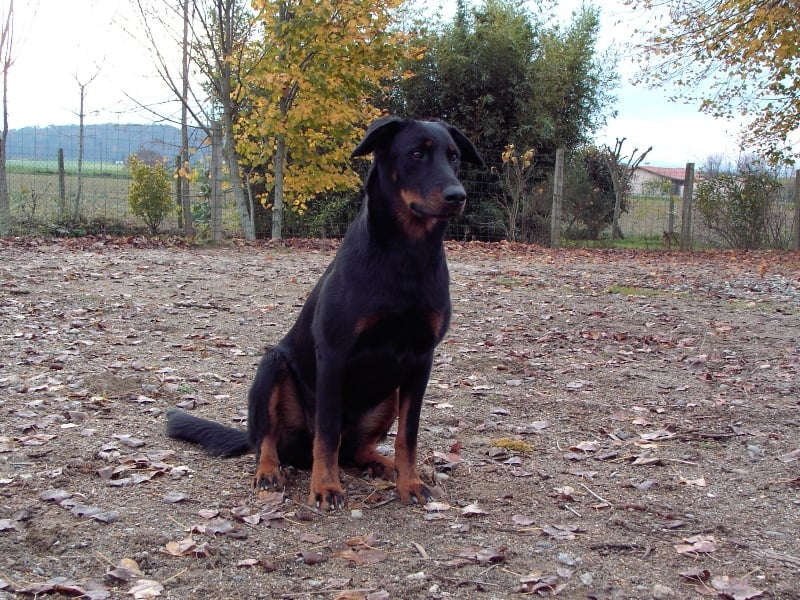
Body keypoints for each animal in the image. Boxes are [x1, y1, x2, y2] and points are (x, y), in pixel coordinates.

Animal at [166, 118, 484, 510]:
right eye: (416, 154)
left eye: (453, 157)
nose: (458, 196)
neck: (406, 256)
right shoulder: (334, 353)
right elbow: (328, 433)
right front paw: (326, 487)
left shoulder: (421, 359)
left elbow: (408, 435)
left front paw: (409, 482)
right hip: (272, 366)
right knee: (268, 441)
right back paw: (269, 472)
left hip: (390, 395)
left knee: (356, 449)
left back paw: (383, 464)